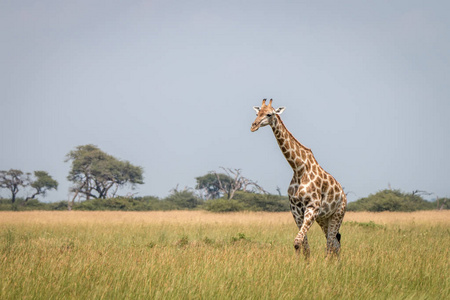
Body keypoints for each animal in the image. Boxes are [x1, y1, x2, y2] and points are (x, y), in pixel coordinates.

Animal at [251, 99, 346, 258]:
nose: (254, 126)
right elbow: (303, 246)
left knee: (330, 244)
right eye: (257, 113)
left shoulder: (312, 208)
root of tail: (344, 195)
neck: (299, 169)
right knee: (335, 243)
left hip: (337, 214)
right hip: (324, 218)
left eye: (269, 114)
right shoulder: (296, 211)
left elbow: (297, 242)